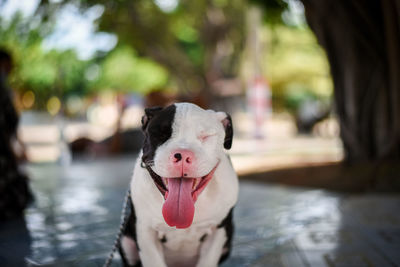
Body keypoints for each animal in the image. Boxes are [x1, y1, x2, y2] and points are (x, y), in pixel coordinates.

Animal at [119, 103, 238, 267]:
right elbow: (153, 260)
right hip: (125, 241)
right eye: (160, 134)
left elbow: (208, 260)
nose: (183, 154)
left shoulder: (218, 231)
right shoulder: (144, 231)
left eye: (205, 136)